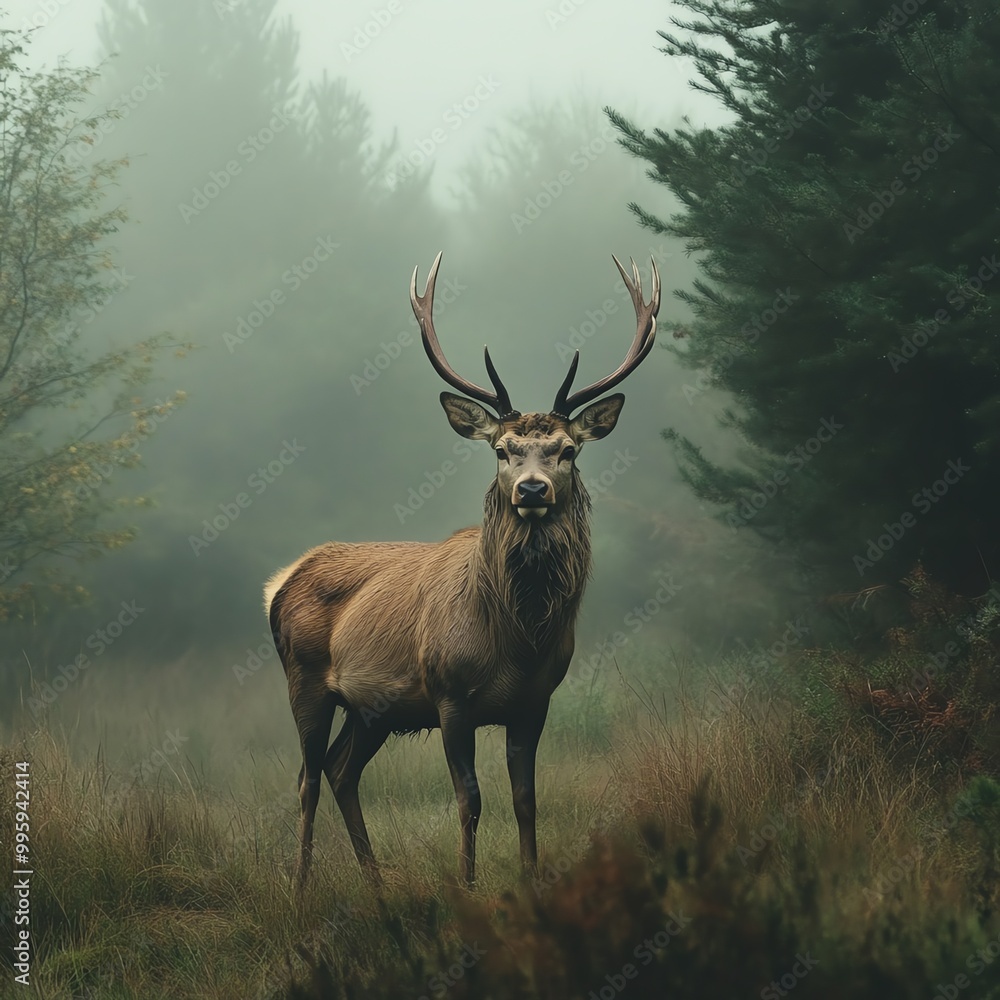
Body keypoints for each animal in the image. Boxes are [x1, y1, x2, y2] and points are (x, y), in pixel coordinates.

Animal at [264, 251, 660, 889]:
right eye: (501, 450)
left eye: (568, 450)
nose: (531, 489)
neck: (517, 639)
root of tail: (281, 583)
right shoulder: (449, 694)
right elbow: (470, 799)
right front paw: (468, 887)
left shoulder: (536, 701)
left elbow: (526, 799)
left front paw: (531, 881)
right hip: (304, 679)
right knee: (307, 777)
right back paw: (300, 889)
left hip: (373, 709)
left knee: (340, 769)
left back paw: (377, 887)